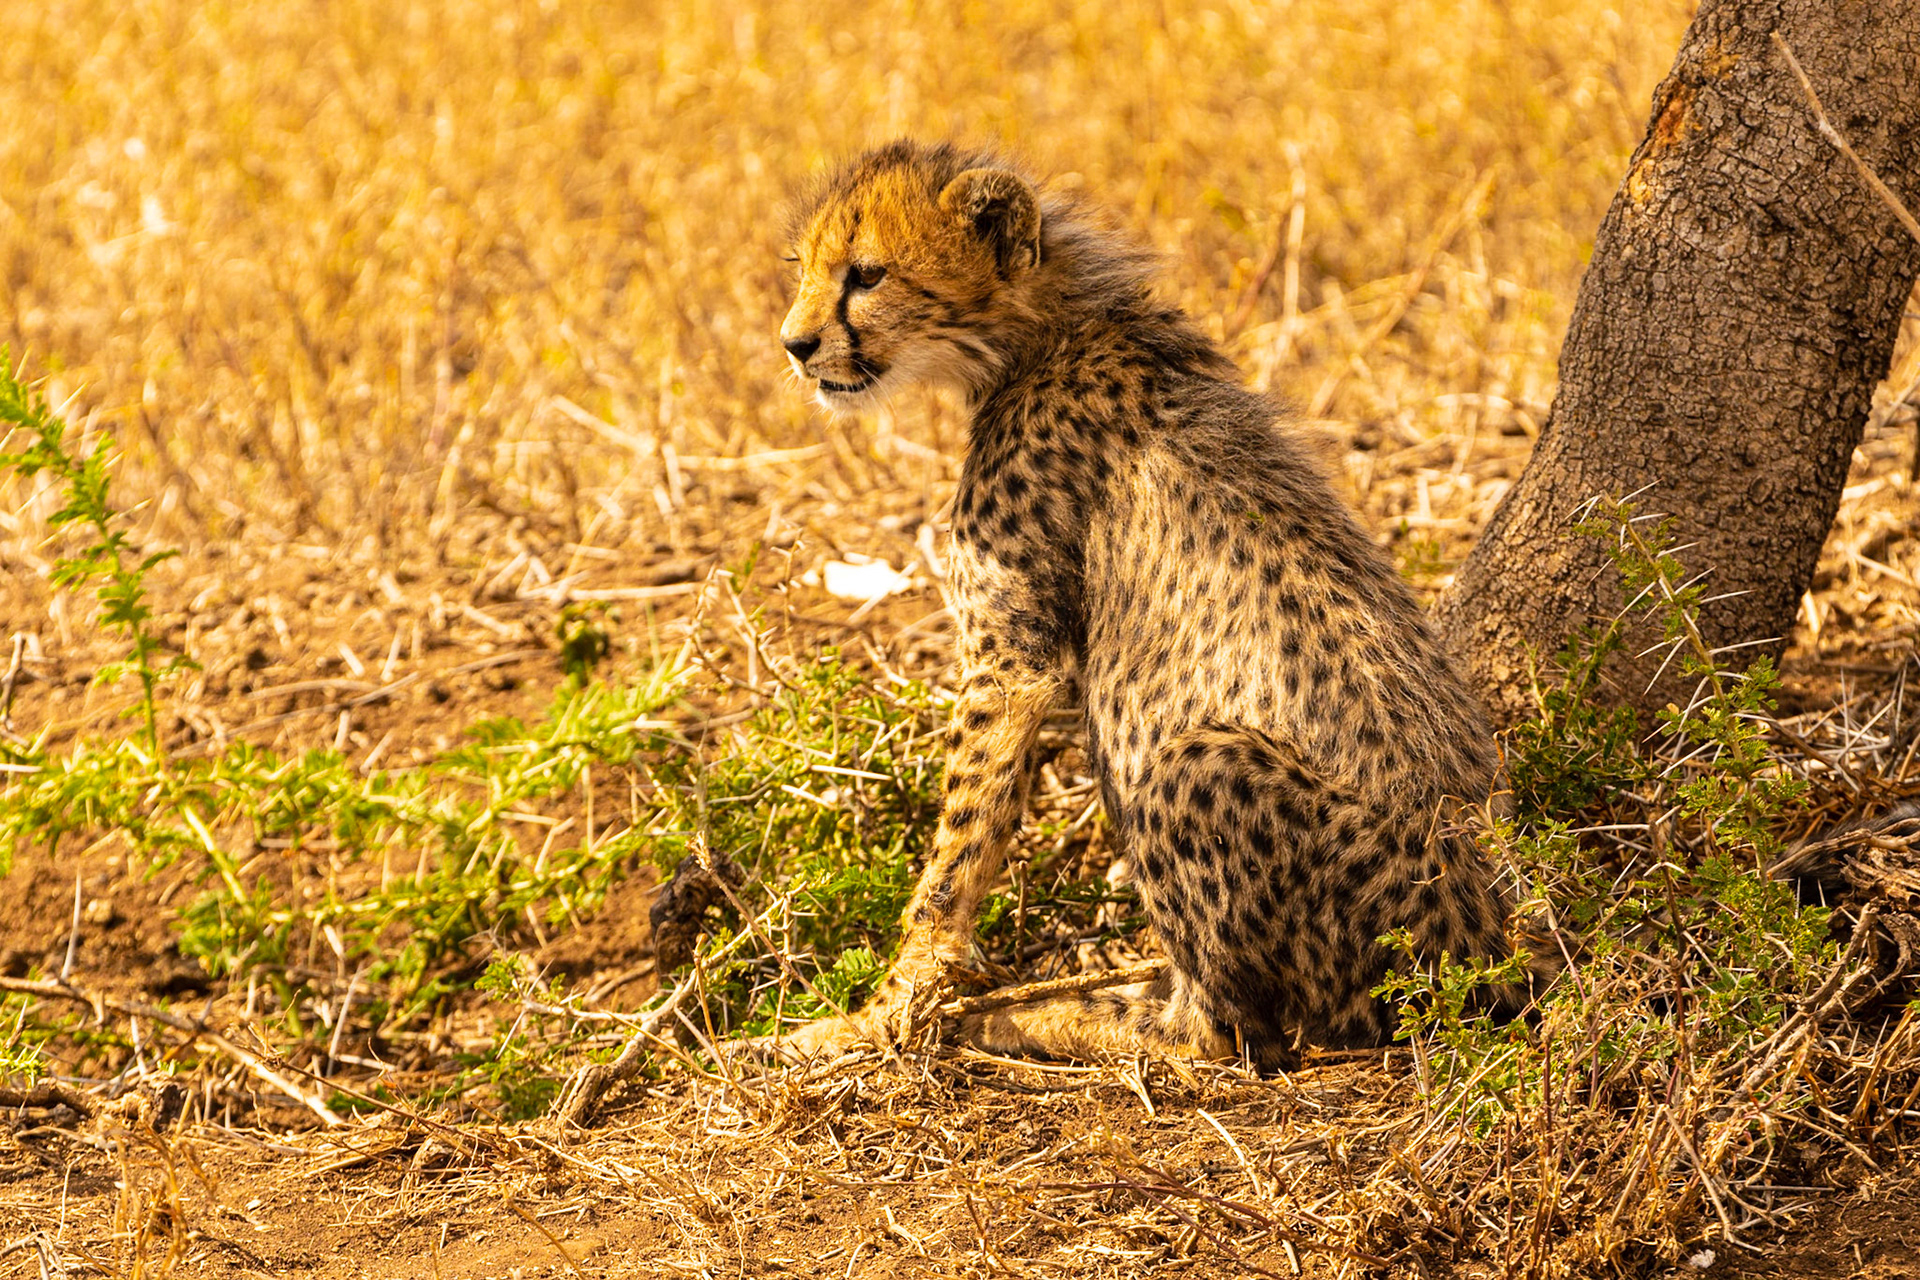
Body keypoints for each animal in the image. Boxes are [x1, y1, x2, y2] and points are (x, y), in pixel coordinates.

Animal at [769, 140, 1528, 1066]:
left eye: (868, 274)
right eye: (804, 268)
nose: (796, 343)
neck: (1042, 331)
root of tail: (1490, 953)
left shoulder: (1010, 658)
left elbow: (960, 842)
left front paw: (881, 1012)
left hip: (1199, 768)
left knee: (1222, 1030)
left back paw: (1053, 1016)